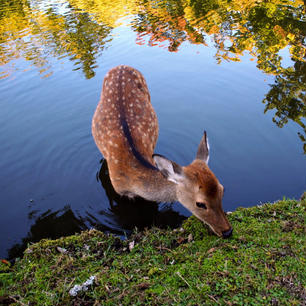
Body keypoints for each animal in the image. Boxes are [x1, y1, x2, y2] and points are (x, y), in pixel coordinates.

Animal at [92, 64, 233, 238]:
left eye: (222, 189)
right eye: (200, 203)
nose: (227, 231)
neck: (132, 180)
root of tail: (122, 66)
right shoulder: (121, 191)